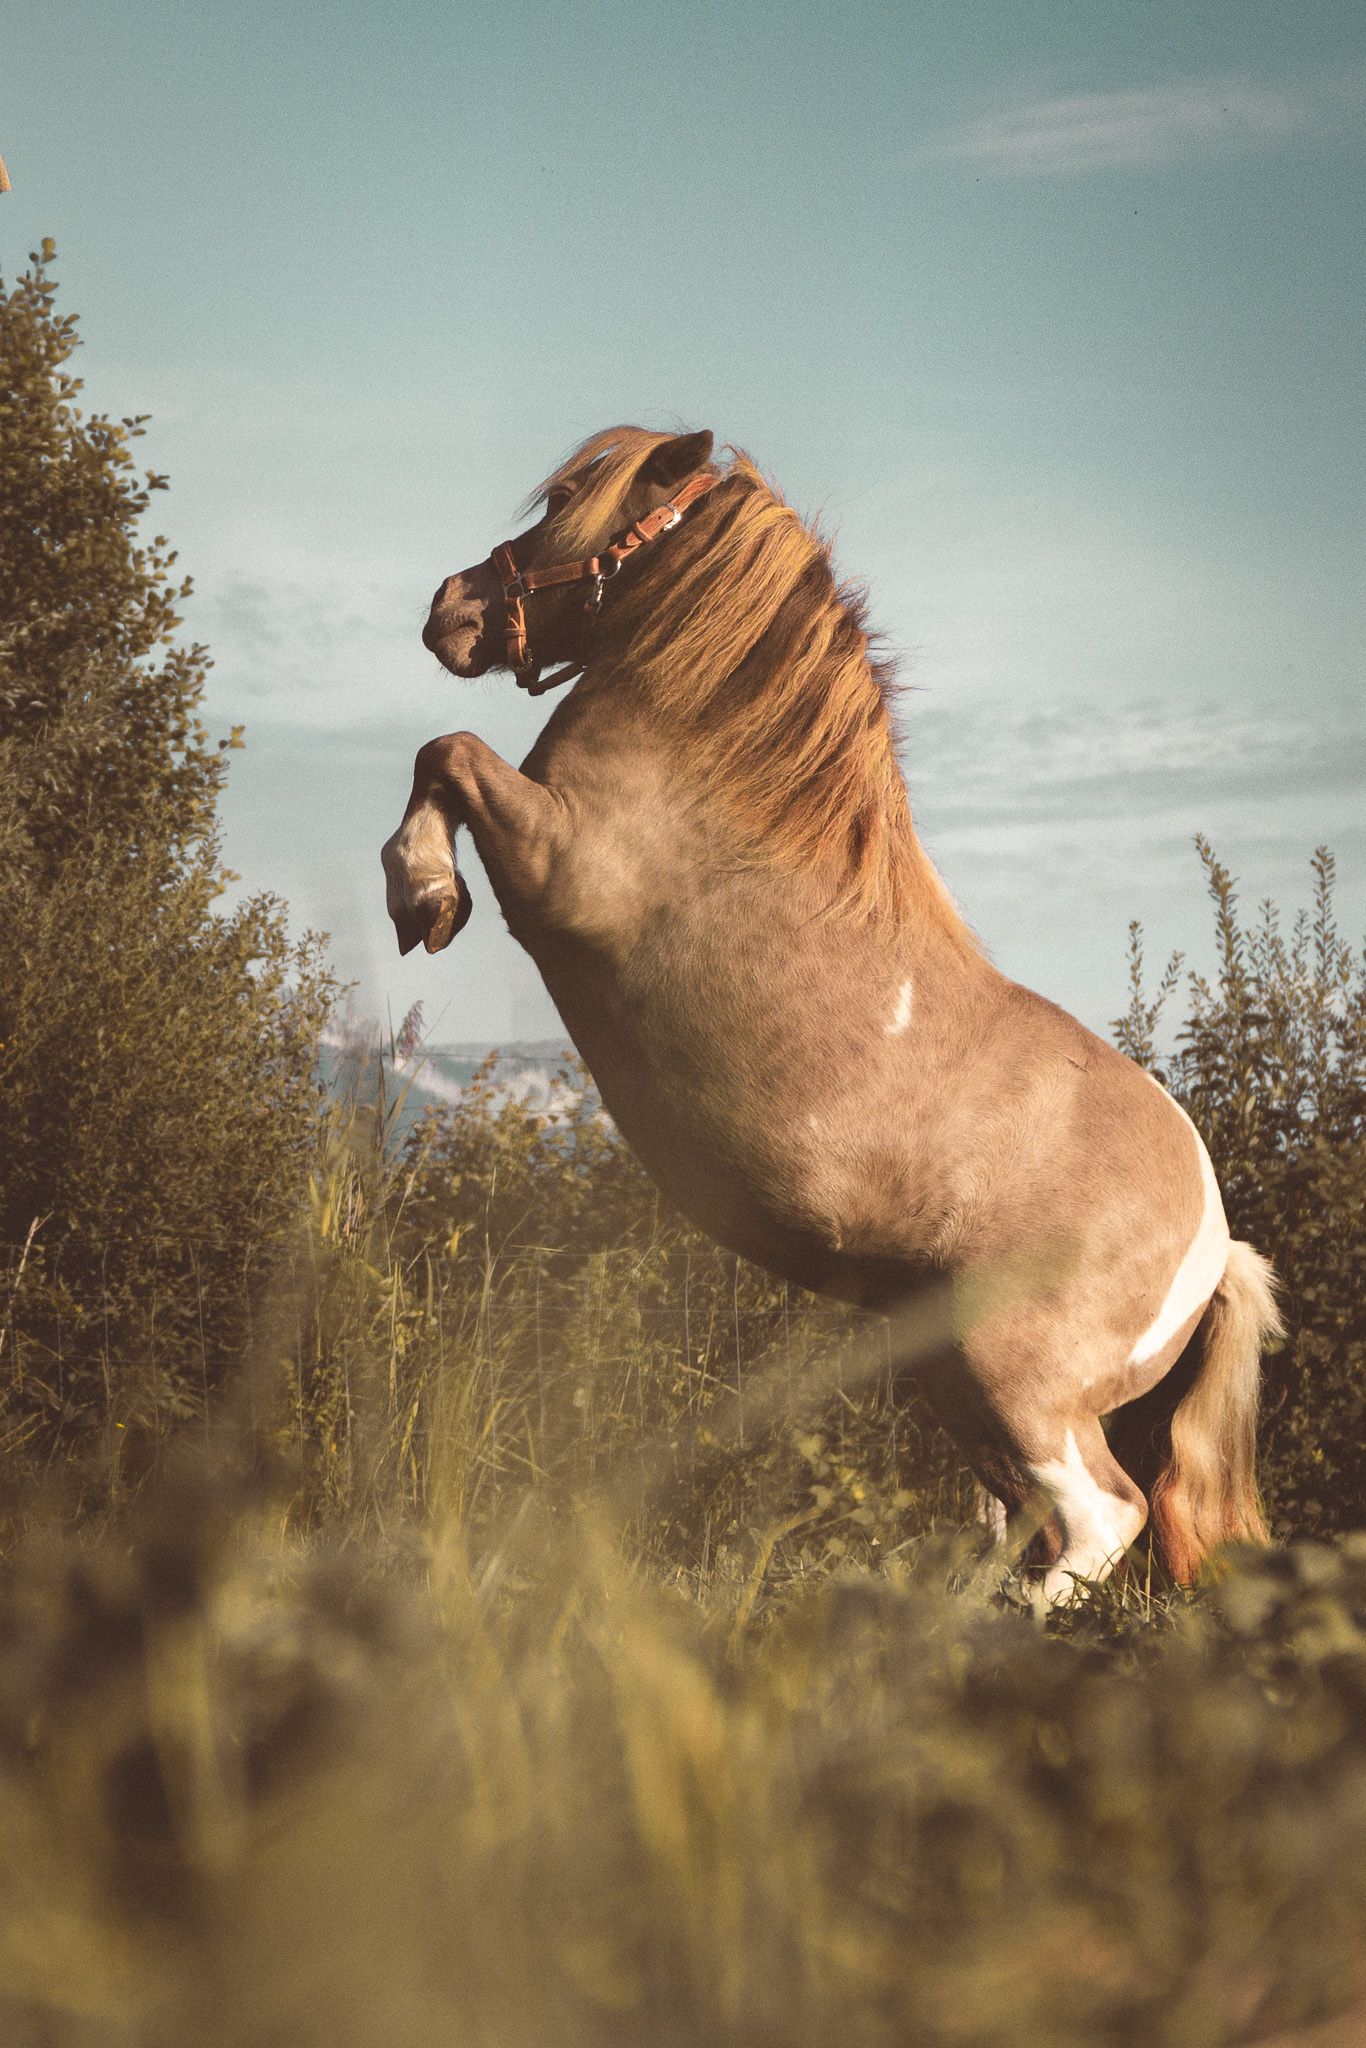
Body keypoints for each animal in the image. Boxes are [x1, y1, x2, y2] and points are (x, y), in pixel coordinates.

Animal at [381, 425, 1282, 1599]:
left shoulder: (554, 863)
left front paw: (423, 894)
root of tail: (1213, 1246)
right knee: (1031, 1513)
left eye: (570, 495)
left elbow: (445, 751)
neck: (702, 769)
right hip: (953, 1375)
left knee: (1100, 1513)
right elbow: (441, 756)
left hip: (1012, 1375)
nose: (450, 604)